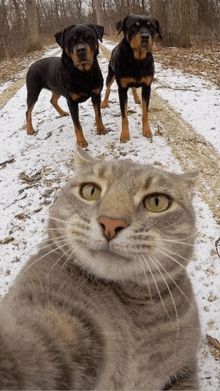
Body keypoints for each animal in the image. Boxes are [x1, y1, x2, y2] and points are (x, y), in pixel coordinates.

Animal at [102, 16, 162, 144]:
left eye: (151, 27)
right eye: (134, 26)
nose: (145, 36)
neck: (137, 60)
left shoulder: (147, 87)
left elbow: (145, 112)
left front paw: (147, 130)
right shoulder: (122, 89)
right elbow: (124, 115)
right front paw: (124, 134)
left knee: (134, 87)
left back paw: (136, 98)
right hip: (110, 74)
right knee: (108, 88)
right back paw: (104, 102)